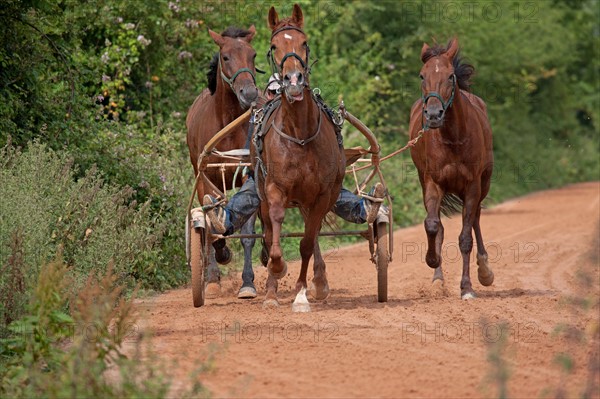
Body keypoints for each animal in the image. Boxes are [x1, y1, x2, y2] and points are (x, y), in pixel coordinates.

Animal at [186, 25, 262, 300]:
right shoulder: (206, 179)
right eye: (226, 57)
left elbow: (248, 231)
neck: (227, 121)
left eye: (253, 55)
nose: (249, 93)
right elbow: (211, 224)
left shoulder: (249, 174)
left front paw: (247, 283)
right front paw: (213, 278)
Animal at [252, 3, 346, 310]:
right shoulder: (274, 188)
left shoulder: (321, 195)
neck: (300, 134)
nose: (293, 80)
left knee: (311, 233)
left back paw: (318, 282)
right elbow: (275, 231)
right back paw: (271, 290)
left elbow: (307, 242)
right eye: (274, 46)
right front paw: (276, 270)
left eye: (304, 42)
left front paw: (302, 293)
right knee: (270, 231)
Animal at [408, 38, 496, 300]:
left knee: (476, 217)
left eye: (450, 76)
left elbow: (466, 237)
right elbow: (432, 225)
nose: (433, 114)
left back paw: (484, 269)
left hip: (484, 183)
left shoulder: (472, 186)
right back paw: (438, 278)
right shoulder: (432, 183)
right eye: (422, 75)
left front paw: (467, 287)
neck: (453, 139)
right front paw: (433, 262)